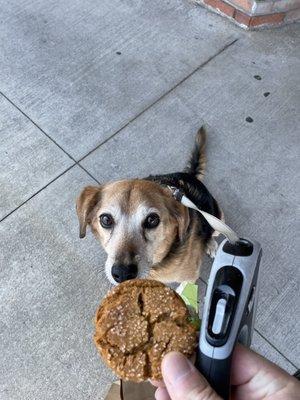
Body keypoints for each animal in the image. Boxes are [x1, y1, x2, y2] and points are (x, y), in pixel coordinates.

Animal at [76, 127, 224, 284]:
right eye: (106, 219)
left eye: (152, 220)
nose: (122, 273)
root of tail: (191, 175)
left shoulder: (190, 278)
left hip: (219, 218)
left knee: (212, 233)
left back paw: (211, 244)